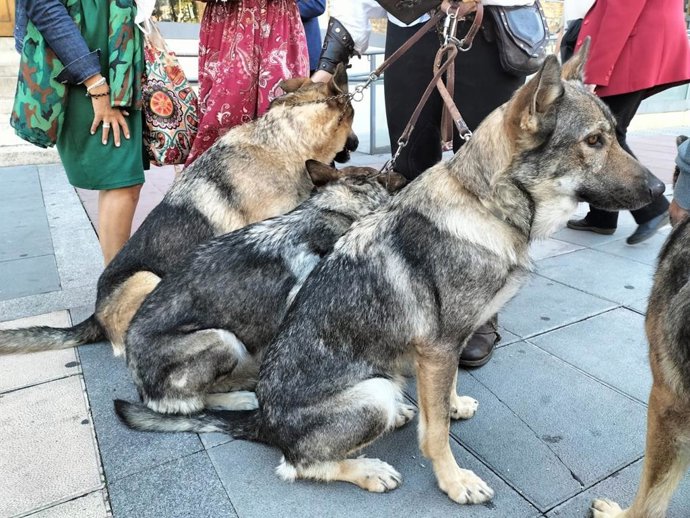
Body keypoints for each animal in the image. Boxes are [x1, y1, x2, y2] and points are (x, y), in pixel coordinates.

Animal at [123, 161, 405, 416]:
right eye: (382, 172)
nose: (402, 173)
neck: (335, 209)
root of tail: (141, 387)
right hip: (223, 339)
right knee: (198, 401)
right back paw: (241, 398)